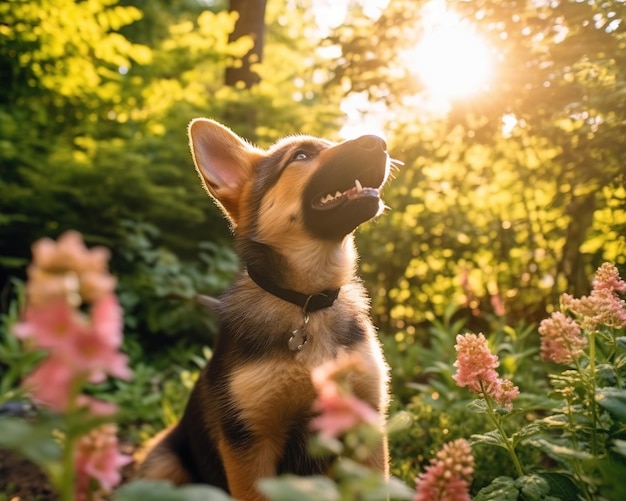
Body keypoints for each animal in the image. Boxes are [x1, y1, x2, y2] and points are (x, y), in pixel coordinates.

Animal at [138, 119, 392, 498]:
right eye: (301, 156)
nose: (381, 141)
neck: (306, 303)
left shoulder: (365, 426)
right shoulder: (250, 444)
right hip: (162, 463)